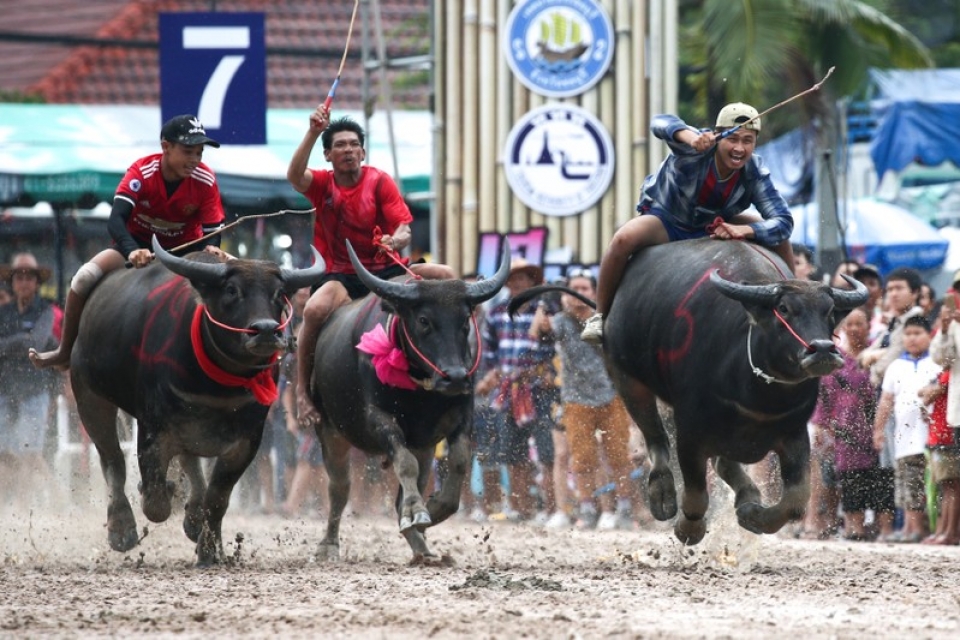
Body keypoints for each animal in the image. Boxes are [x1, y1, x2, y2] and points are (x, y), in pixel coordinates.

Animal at [71, 236, 324, 564]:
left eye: (279, 293)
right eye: (231, 290)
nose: (266, 330)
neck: (218, 384)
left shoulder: (247, 440)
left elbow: (217, 499)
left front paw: (209, 547)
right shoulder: (153, 427)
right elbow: (155, 501)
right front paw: (161, 499)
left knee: (186, 462)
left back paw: (191, 517)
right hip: (88, 394)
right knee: (112, 459)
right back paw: (122, 528)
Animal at [314, 239, 510, 560]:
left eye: (465, 322)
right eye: (424, 320)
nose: (455, 377)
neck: (420, 391)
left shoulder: (460, 414)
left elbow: (459, 460)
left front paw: (434, 508)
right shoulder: (378, 419)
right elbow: (404, 464)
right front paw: (417, 510)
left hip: (424, 445)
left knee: (399, 495)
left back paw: (422, 549)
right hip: (329, 429)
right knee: (340, 488)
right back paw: (328, 546)